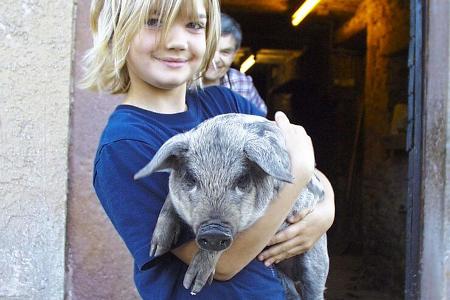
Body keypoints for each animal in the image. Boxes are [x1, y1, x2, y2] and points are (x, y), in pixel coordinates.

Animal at [135, 113, 328, 300]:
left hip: (316, 261)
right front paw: (156, 250)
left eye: (242, 179)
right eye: (191, 178)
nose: (214, 231)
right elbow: (169, 202)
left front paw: (192, 285)